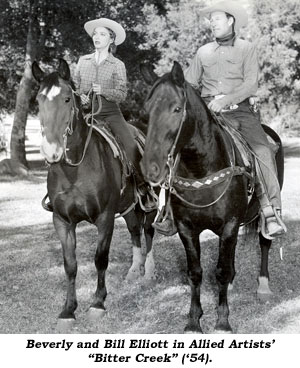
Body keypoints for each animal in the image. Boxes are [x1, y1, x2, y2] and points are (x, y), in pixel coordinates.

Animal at [32, 59, 157, 330]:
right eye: (38, 100)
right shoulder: (62, 221)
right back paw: (135, 270)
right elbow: (70, 265)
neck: (75, 169)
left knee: (148, 230)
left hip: (149, 204)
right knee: (134, 230)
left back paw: (149, 270)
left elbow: (100, 258)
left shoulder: (105, 217)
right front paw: (68, 310)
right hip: (128, 206)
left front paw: (98, 303)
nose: (51, 151)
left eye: (67, 98)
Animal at [141, 61, 284, 334]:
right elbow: (195, 272)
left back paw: (263, 285)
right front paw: (193, 321)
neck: (202, 168)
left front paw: (222, 322)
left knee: (264, 243)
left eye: (176, 109)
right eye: (146, 112)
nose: (151, 168)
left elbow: (221, 271)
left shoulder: (228, 225)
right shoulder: (187, 229)